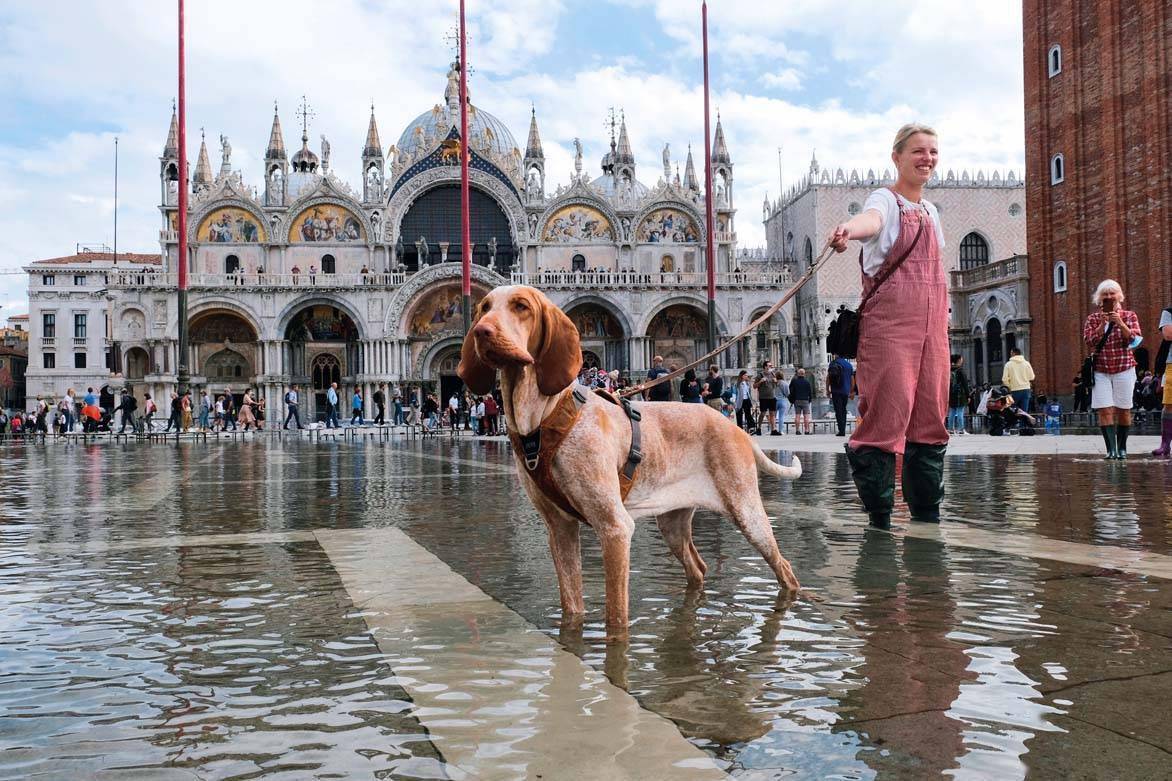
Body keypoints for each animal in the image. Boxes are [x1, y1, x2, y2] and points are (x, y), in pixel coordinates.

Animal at [454, 284, 796, 633]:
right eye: (484, 308)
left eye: (521, 306)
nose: (481, 331)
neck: (543, 419)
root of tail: (736, 428)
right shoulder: (560, 530)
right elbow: (572, 607)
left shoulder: (615, 529)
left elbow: (616, 617)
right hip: (672, 524)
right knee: (698, 568)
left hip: (747, 514)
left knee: (786, 570)